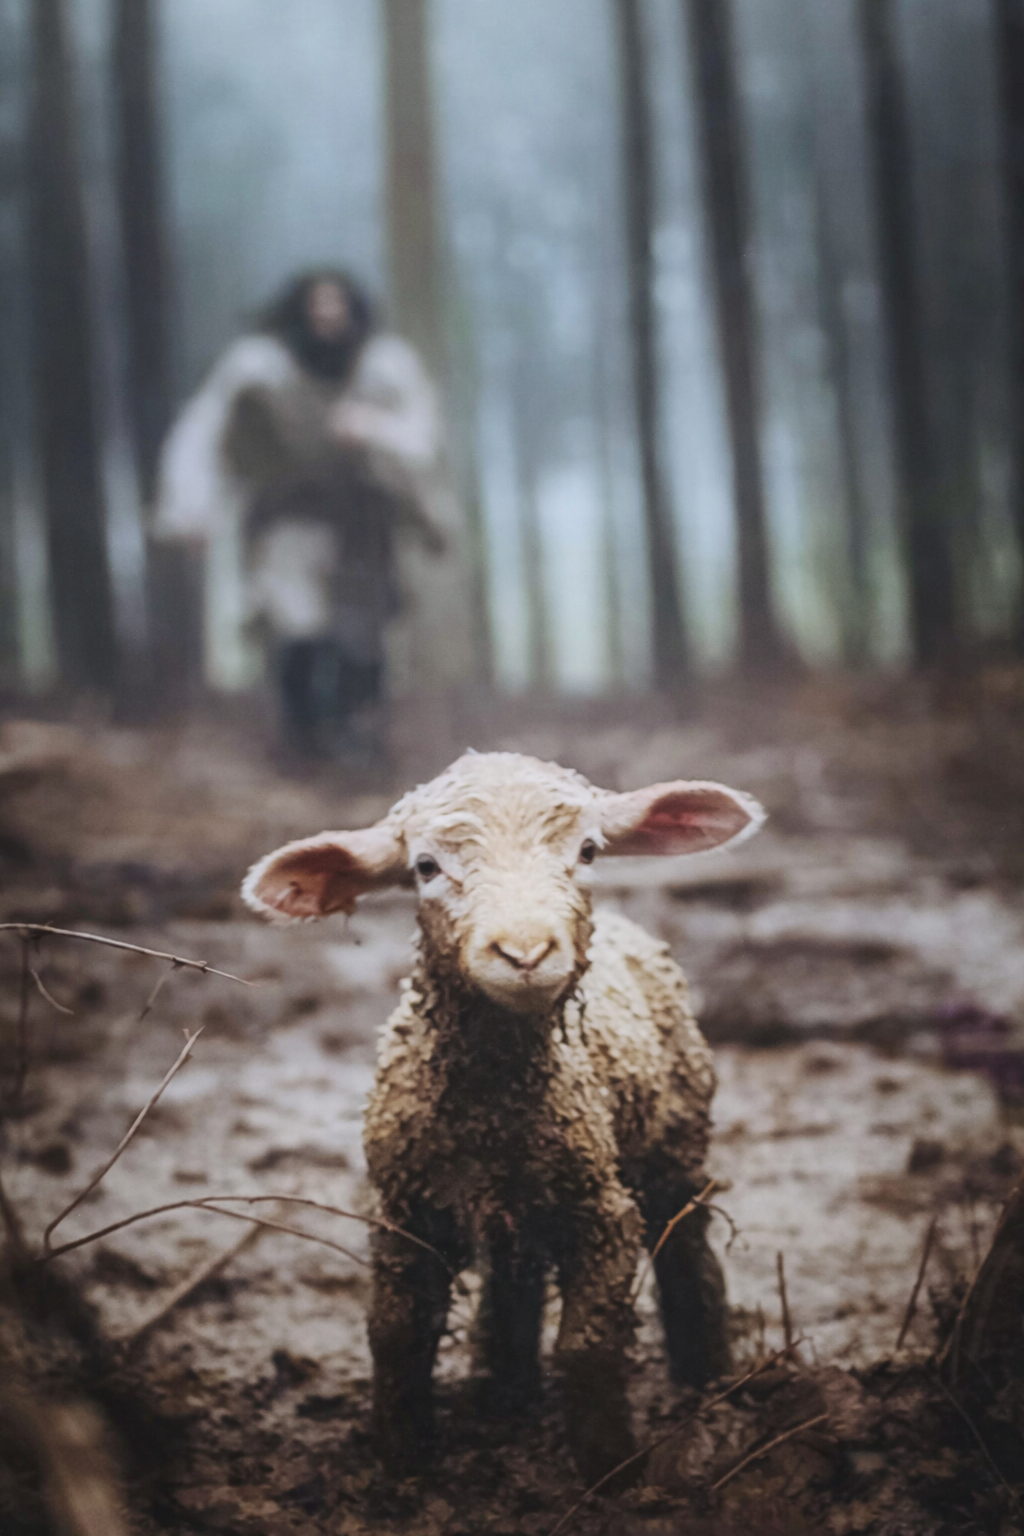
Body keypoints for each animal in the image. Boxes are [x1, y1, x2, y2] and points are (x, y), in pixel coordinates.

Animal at [242, 751, 764, 1483]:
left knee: (685, 1242)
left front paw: (609, 1469)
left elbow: (586, 1343)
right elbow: (395, 1334)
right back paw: (502, 1393)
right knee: (515, 1275)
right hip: (519, 1202)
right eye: (425, 866)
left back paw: (705, 1378)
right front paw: (401, 1461)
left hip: (677, 1134)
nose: (524, 953)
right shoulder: (404, 1209)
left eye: (588, 850)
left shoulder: (602, 1209)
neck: (493, 1111)